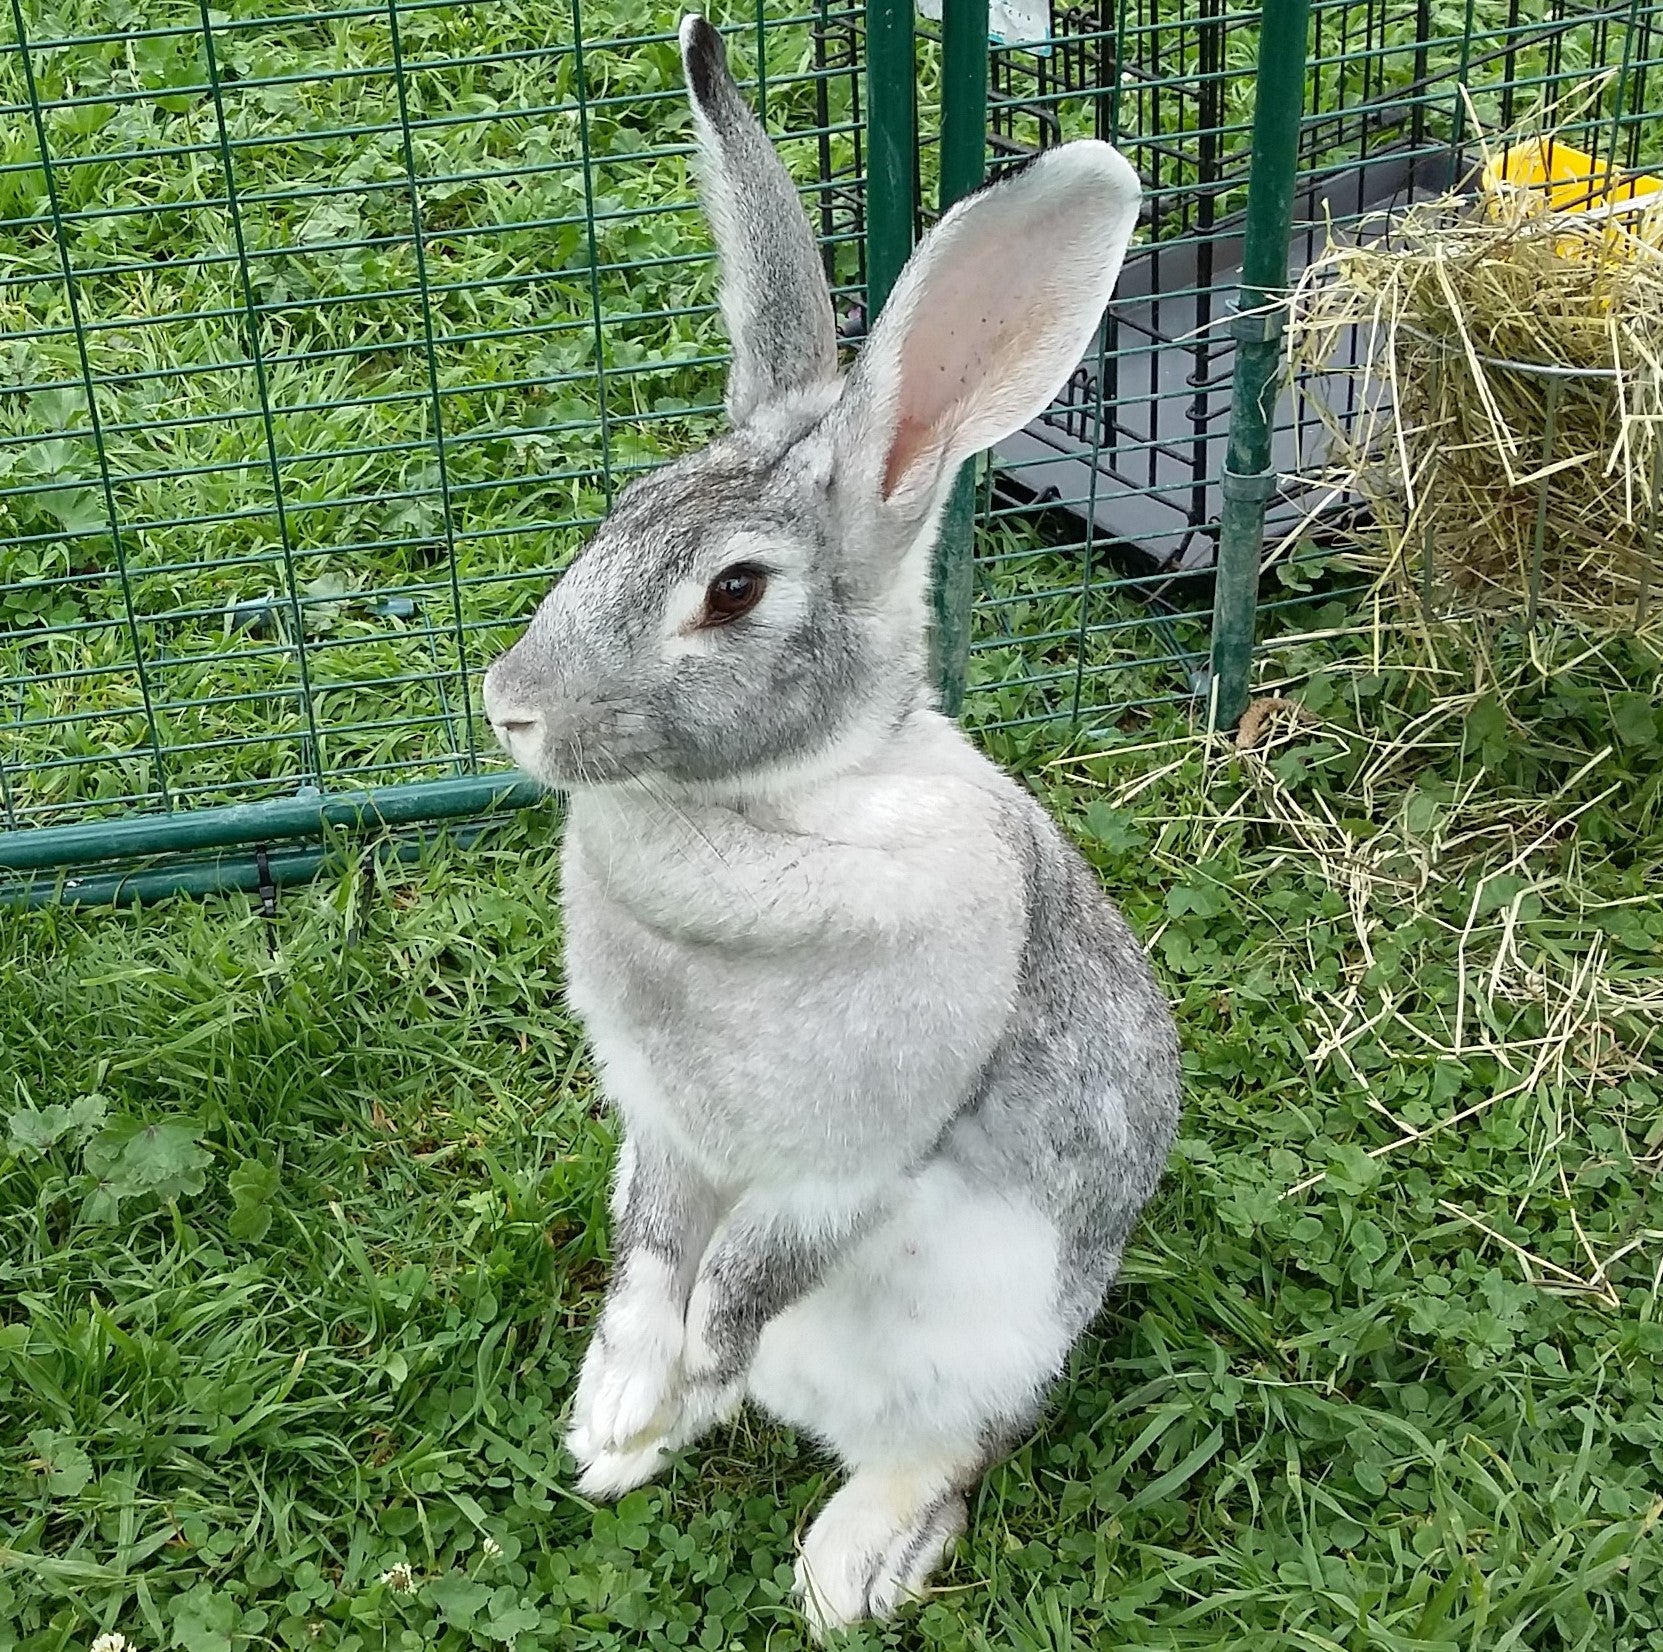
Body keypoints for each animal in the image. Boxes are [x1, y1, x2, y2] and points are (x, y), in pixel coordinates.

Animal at [482, 16, 1184, 1637]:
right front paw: (618, 1410)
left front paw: (676, 1388)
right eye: (620, 513)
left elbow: (743, 1275)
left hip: (992, 1343)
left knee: (954, 1446)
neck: (769, 807)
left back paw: (852, 1563)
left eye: (733, 591)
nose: (509, 710)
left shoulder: (862, 1152)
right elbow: (654, 1245)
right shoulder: (660, 1126)